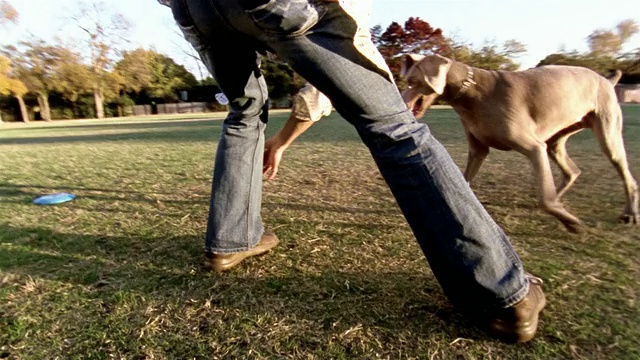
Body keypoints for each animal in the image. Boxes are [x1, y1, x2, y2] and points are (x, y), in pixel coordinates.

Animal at [402, 54, 636, 233]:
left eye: (413, 80)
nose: (401, 103)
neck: (470, 93)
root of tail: (607, 80)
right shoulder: (478, 150)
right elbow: (464, 181)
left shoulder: (534, 148)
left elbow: (545, 200)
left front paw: (572, 223)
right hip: (556, 141)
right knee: (572, 171)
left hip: (607, 133)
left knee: (627, 176)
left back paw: (629, 214)